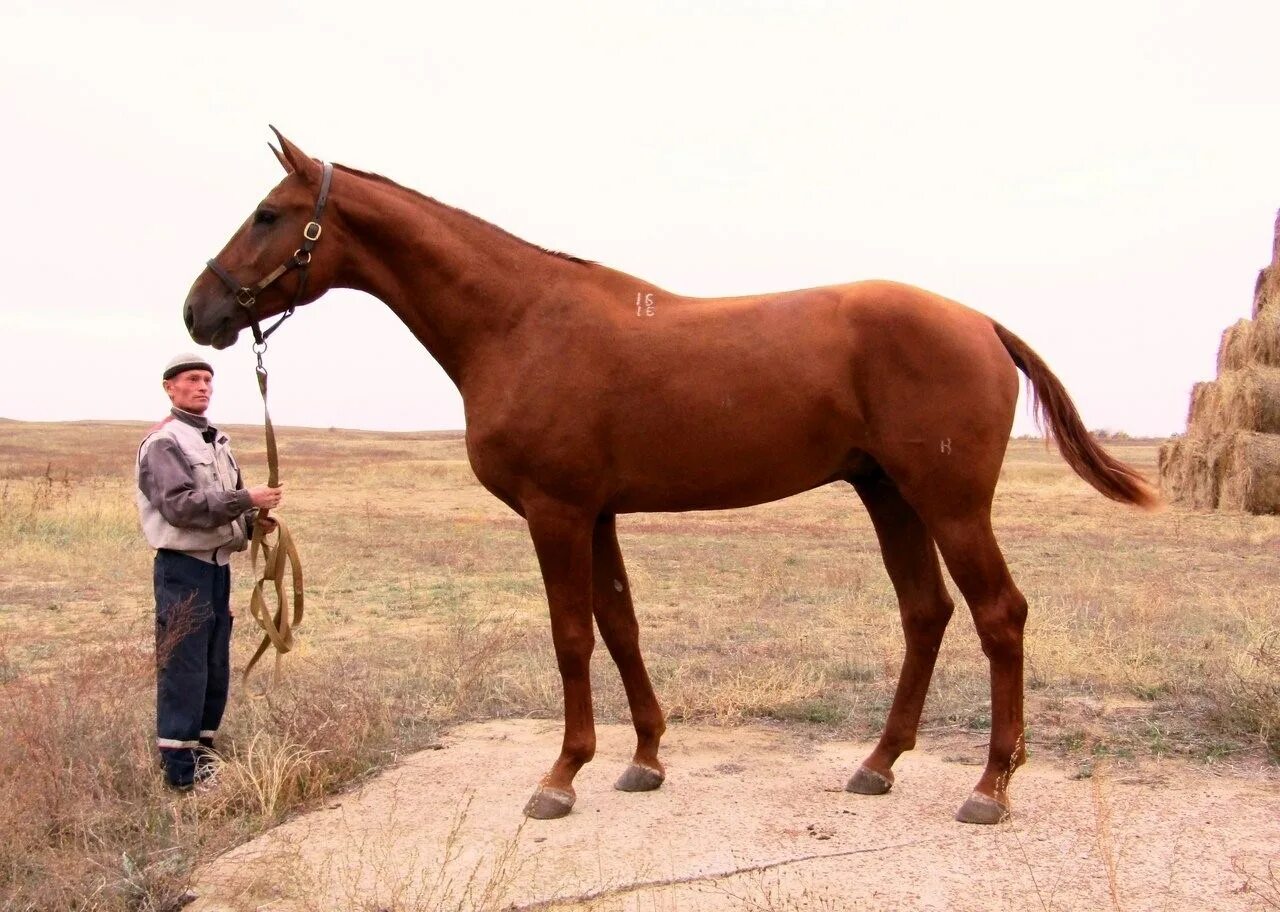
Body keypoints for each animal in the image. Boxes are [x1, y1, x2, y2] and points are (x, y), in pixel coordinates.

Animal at [185, 130, 1157, 824]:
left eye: (268, 213)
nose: (200, 310)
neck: (518, 320)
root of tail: (981, 322)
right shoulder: (598, 514)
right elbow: (620, 627)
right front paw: (644, 759)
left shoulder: (556, 512)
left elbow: (571, 637)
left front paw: (561, 776)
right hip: (889, 495)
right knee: (926, 613)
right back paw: (879, 764)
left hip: (950, 505)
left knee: (1000, 616)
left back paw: (991, 786)